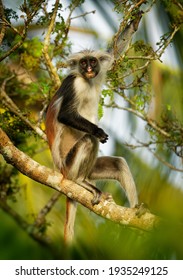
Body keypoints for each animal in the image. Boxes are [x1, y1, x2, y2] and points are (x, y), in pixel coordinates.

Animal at [45, 49, 139, 244]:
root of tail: (61, 170)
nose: (88, 69)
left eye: (93, 62)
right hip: (69, 165)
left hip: (92, 170)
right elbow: (65, 115)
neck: (87, 81)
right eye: (83, 63)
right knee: (89, 140)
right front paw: (98, 131)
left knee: (119, 163)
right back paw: (79, 181)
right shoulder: (74, 82)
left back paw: (135, 212)